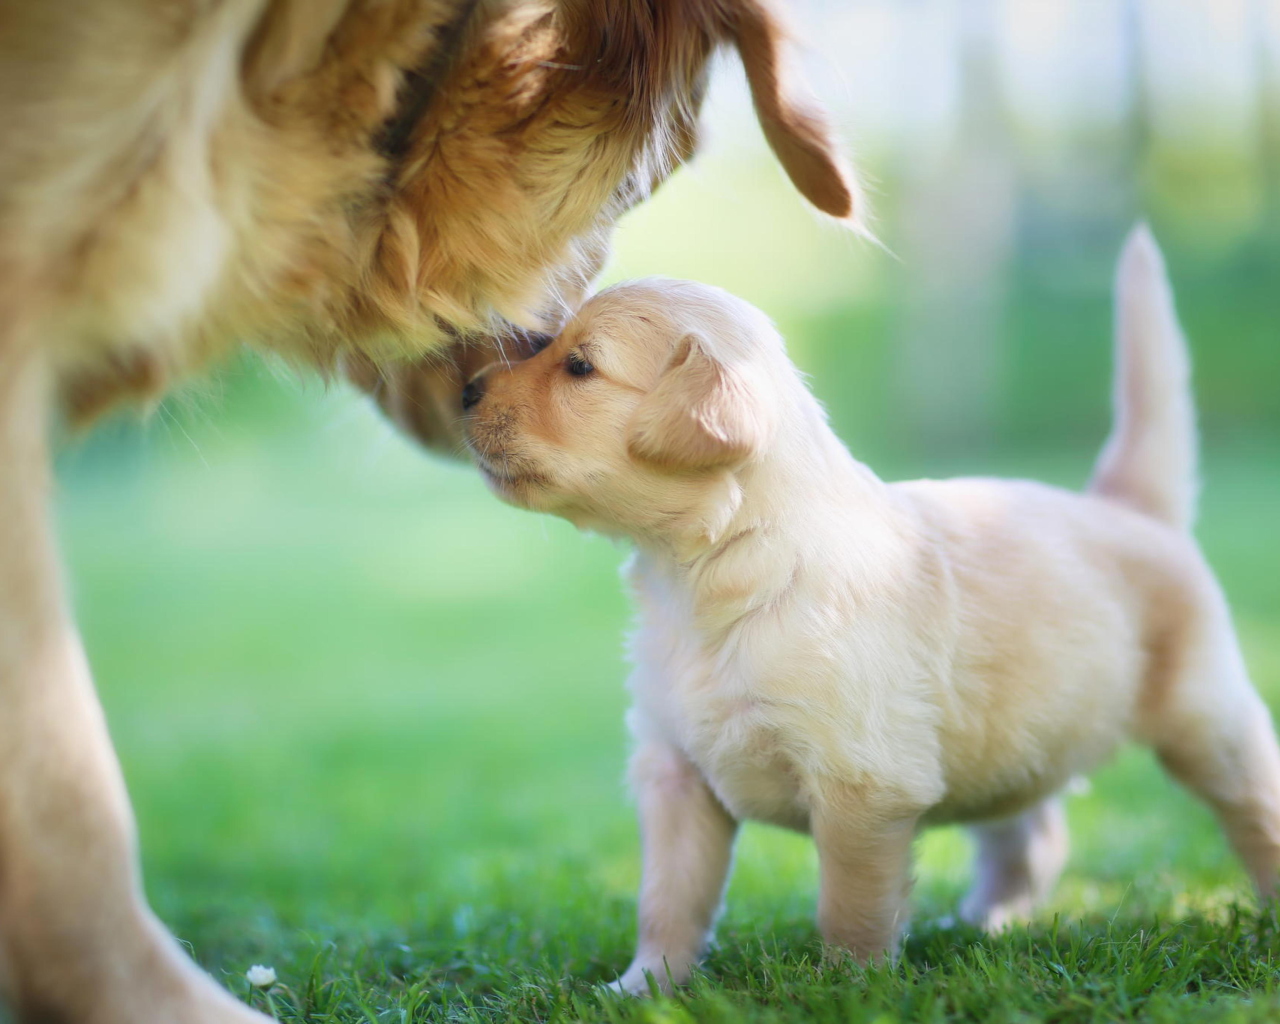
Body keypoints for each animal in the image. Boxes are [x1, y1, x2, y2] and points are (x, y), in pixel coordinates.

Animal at [460, 227, 1280, 988]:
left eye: (580, 366)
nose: (465, 390)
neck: (716, 571)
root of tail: (1129, 507)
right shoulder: (675, 771)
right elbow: (668, 898)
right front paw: (644, 986)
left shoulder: (863, 784)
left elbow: (850, 906)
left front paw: (849, 987)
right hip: (1017, 735)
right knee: (1035, 833)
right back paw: (985, 922)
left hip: (1207, 719)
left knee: (1254, 808)